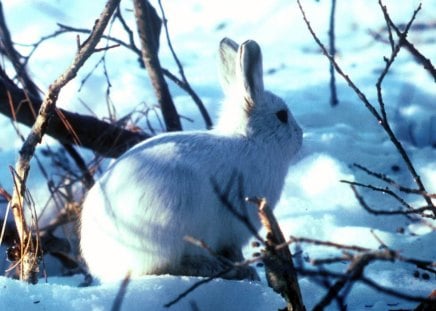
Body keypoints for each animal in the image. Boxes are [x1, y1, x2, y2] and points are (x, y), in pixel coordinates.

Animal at [79, 37, 304, 282]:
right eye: (282, 115)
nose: (300, 136)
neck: (251, 140)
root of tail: (106, 263)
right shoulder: (235, 225)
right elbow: (234, 250)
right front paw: (246, 270)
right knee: (164, 267)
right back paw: (213, 268)